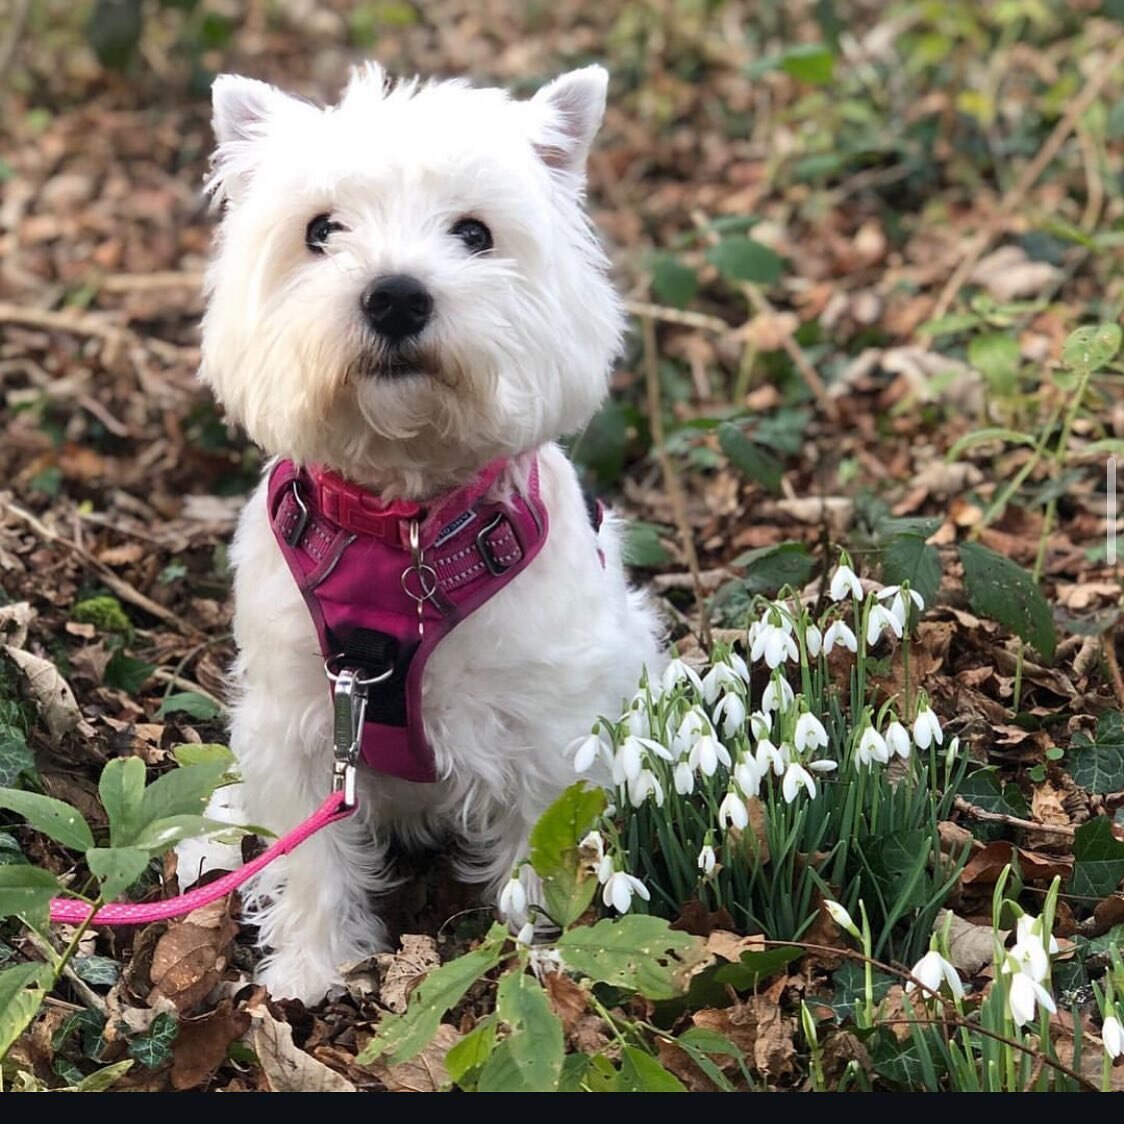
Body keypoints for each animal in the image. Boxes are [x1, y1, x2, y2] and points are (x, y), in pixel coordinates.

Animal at [189, 59, 660, 1002]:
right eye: (321, 230)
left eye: (475, 233)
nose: (396, 295)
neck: (403, 522)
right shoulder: (303, 713)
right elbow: (313, 853)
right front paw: (311, 966)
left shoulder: (542, 722)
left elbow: (542, 846)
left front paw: (536, 955)